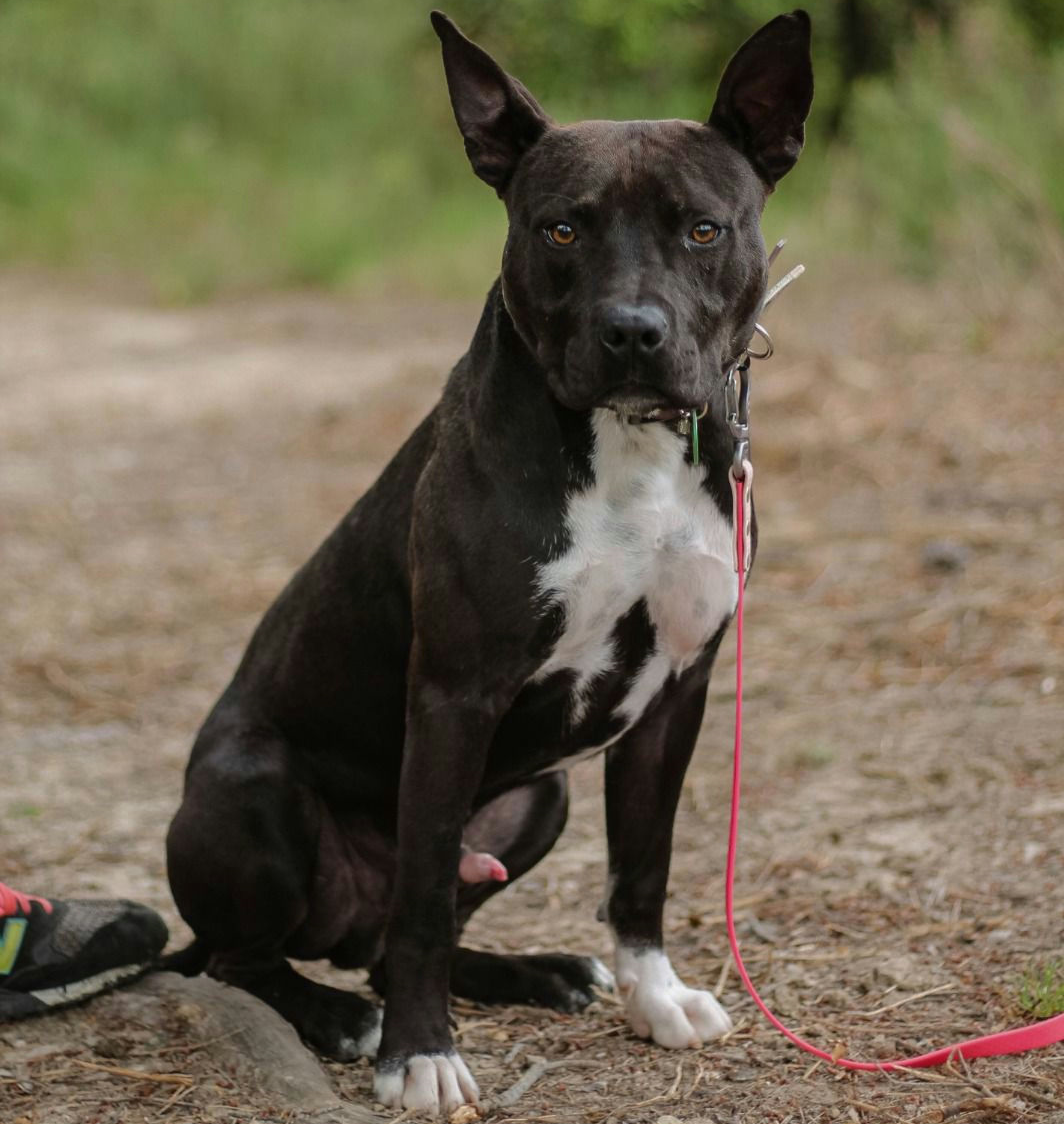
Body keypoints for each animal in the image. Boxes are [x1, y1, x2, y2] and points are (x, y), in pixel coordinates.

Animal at [166, 10, 813, 1115]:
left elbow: (641, 868)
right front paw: (420, 1057)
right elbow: (426, 897)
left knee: (383, 942)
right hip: (253, 790)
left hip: (539, 797)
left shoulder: (676, 692)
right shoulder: (454, 696)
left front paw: (654, 997)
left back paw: (540, 973)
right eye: (560, 230)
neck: (624, 447)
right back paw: (341, 1016)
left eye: (702, 229)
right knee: (259, 954)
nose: (632, 331)